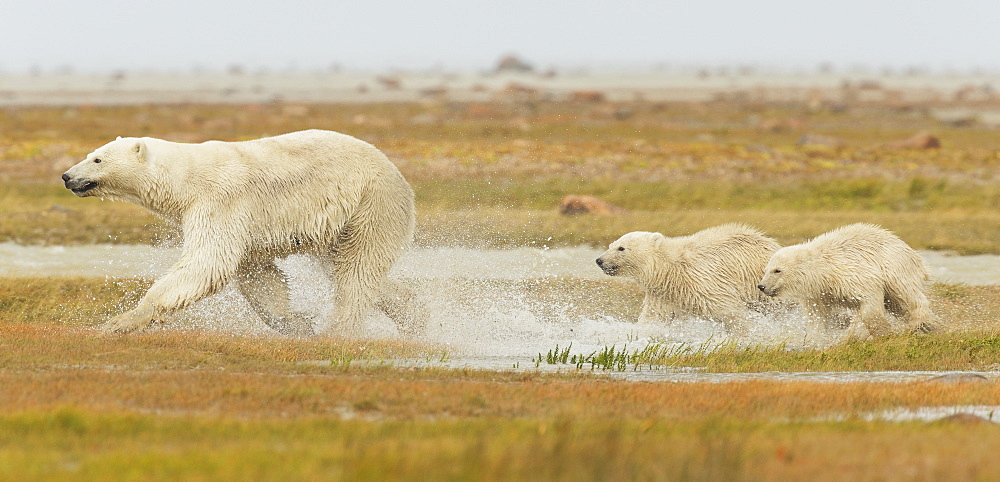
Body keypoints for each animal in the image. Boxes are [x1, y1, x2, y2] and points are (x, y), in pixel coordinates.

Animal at [59, 130, 418, 338]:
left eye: (97, 158)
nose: (66, 176)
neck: (185, 178)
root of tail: (397, 173)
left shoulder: (220, 200)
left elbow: (208, 262)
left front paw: (121, 321)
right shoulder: (242, 224)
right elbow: (257, 273)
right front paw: (296, 322)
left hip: (371, 202)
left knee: (358, 267)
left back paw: (339, 331)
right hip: (340, 223)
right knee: (347, 266)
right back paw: (412, 314)